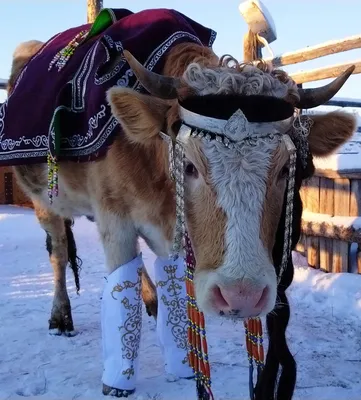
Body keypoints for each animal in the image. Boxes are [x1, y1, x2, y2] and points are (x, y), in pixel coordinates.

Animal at [7, 37, 354, 396]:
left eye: (286, 169)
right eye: (188, 166)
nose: (241, 296)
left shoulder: (170, 227)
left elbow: (171, 282)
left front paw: (181, 364)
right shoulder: (113, 217)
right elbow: (121, 284)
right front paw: (118, 380)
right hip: (45, 202)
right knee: (59, 252)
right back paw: (61, 316)